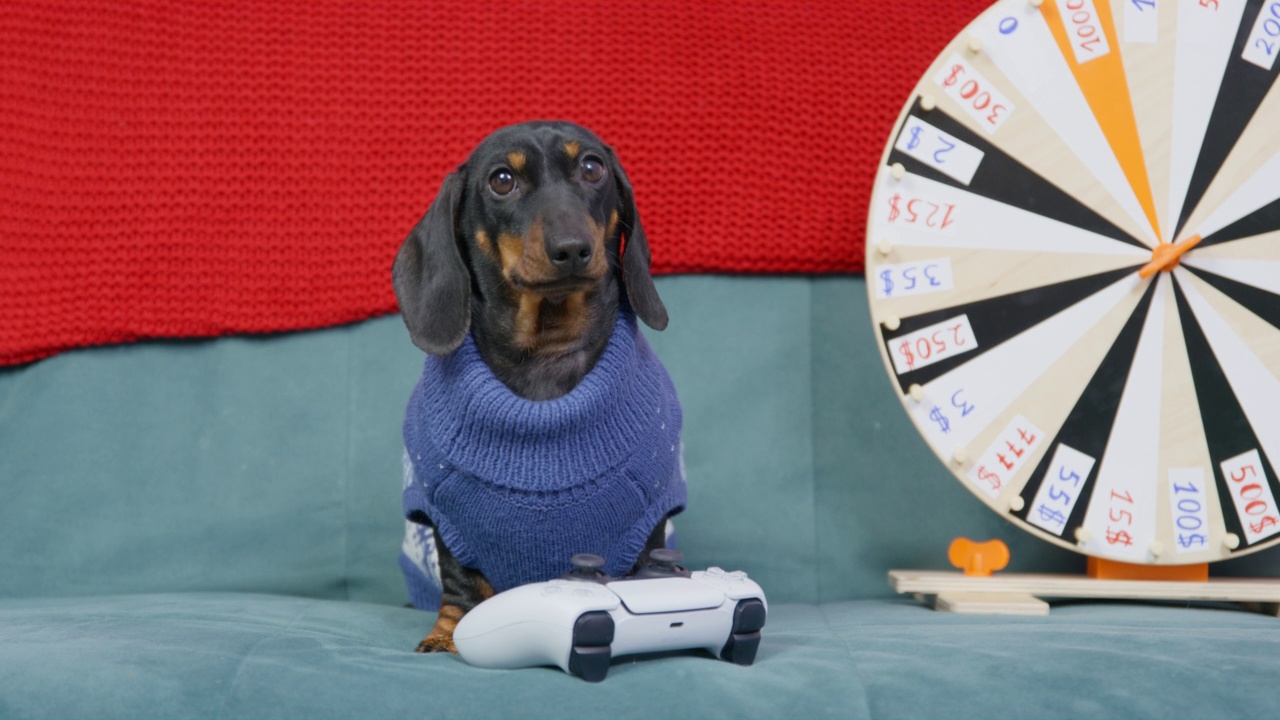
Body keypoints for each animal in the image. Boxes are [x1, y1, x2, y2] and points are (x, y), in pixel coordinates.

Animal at [394, 121, 680, 650]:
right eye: (502, 179)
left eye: (592, 167)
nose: (571, 249)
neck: (547, 353)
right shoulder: (445, 515)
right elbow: (461, 582)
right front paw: (448, 633)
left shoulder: (649, 515)